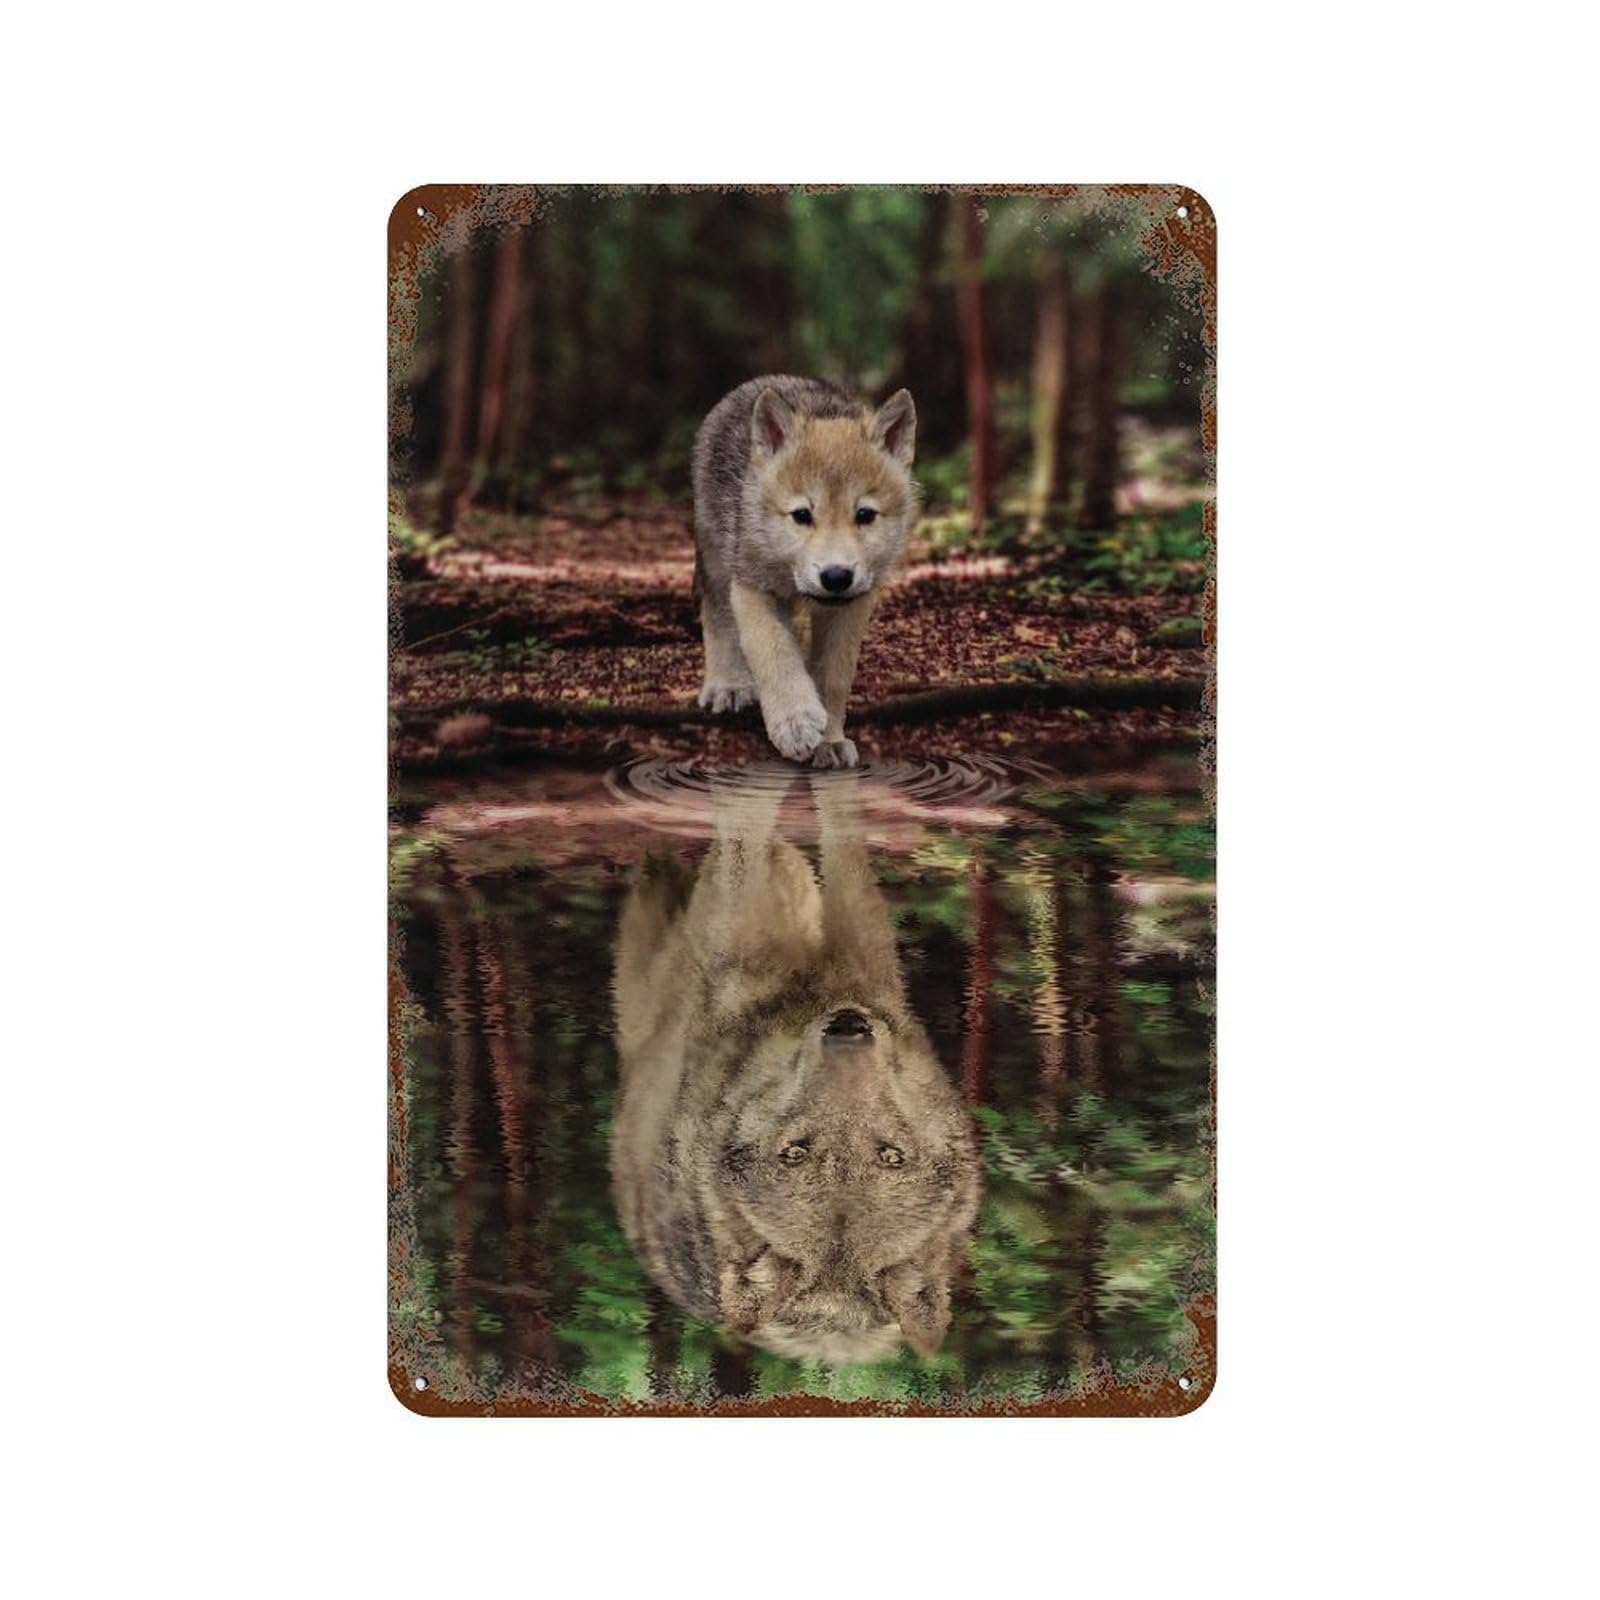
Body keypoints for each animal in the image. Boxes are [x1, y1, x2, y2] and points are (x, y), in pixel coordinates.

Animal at [691, 376, 918, 768]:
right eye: (801, 515)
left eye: (864, 515)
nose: (836, 576)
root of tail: (768, 380)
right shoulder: (750, 587)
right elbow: (773, 649)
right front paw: (794, 721)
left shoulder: (854, 605)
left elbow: (833, 677)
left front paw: (829, 740)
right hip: (717, 561)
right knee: (716, 616)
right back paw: (727, 685)